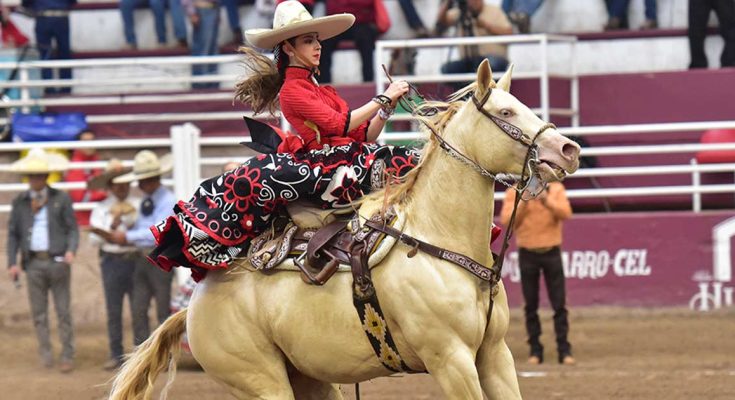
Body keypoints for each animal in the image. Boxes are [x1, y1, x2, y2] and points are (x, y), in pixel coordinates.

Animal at [110, 60, 580, 400]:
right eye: (506, 111)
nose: (568, 149)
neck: (438, 242)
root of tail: (192, 307)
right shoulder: (451, 360)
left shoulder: (494, 355)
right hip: (261, 383)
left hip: (311, 378)